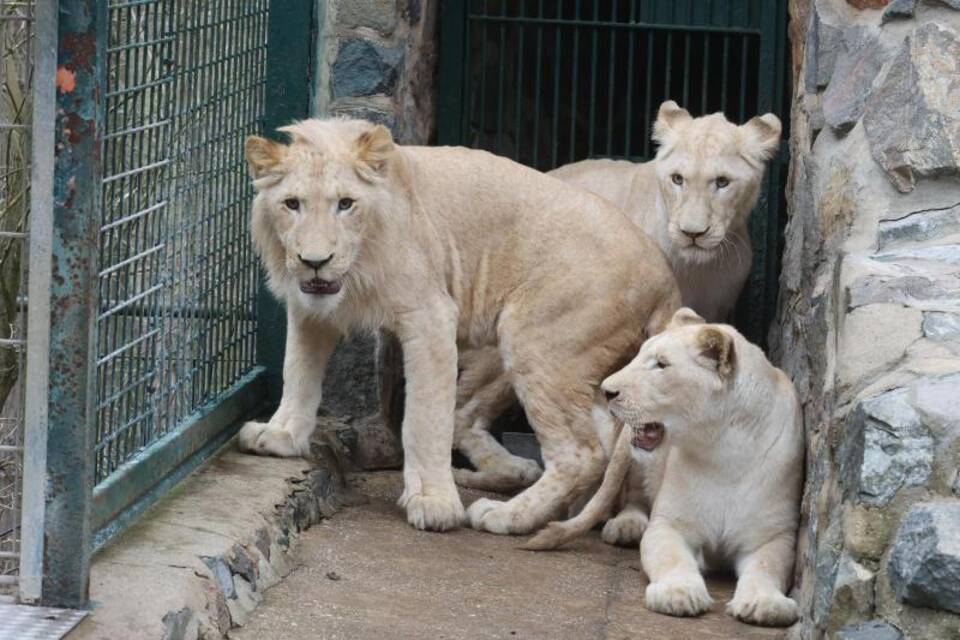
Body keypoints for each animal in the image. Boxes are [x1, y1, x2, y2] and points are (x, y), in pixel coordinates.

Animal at [236, 119, 680, 536]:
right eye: (292, 204)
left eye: (345, 204)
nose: (315, 261)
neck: (359, 265)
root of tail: (665, 276)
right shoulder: (311, 307)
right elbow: (299, 372)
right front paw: (281, 435)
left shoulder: (430, 315)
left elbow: (424, 417)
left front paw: (433, 502)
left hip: (537, 342)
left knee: (580, 454)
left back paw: (506, 515)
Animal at [524, 308, 804, 628]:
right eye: (640, 355)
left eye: (661, 364)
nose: (607, 391)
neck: (722, 451)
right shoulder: (669, 524)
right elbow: (672, 558)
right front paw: (678, 593)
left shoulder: (774, 536)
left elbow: (766, 567)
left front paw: (764, 604)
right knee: (633, 496)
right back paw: (626, 526)